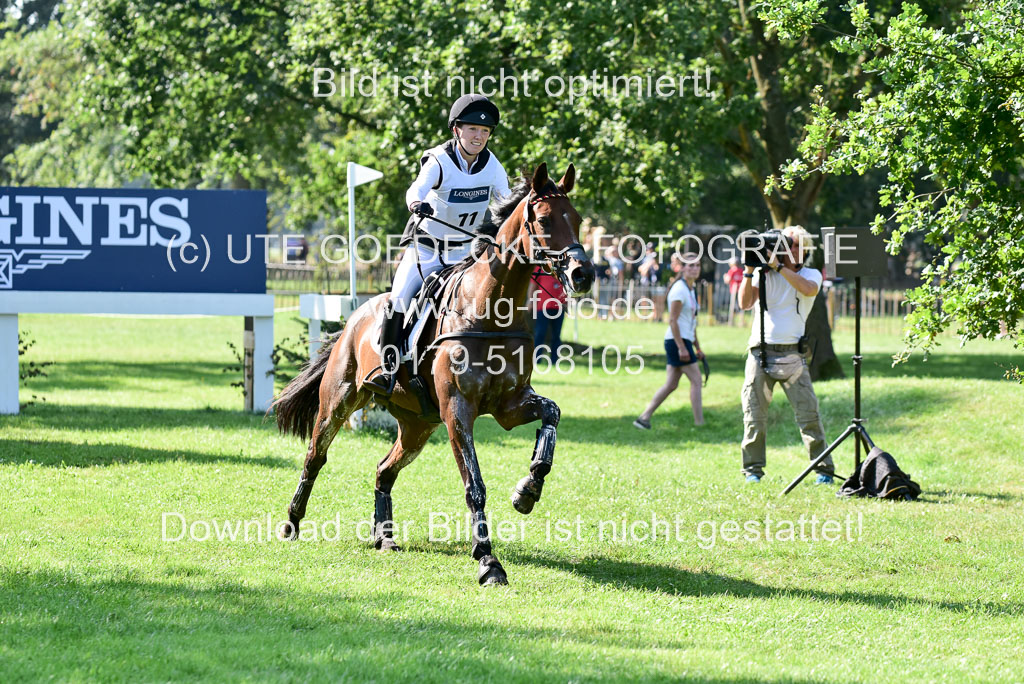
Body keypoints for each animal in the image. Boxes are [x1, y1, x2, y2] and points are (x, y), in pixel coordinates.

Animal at [272, 162, 598, 585]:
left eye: (576, 219)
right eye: (543, 220)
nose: (583, 274)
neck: (489, 310)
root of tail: (353, 319)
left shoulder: (510, 405)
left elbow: (551, 417)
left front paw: (527, 491)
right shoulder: (457, 411)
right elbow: (474, 485)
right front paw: (488, 562)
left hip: (417, 426)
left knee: (384, 470)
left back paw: (385, 538)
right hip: (339, 403)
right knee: (315, 457)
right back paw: (292, 524)